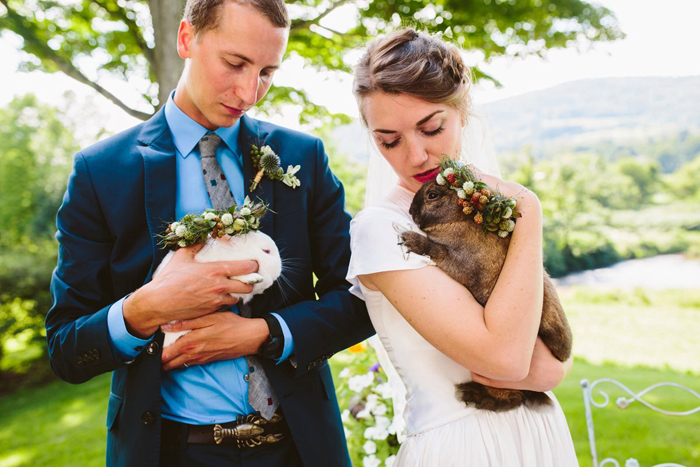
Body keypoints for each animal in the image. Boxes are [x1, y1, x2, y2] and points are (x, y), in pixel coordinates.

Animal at [402, 179, 572, 414]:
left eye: (433, 195)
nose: (411, 211)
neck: (459, 219)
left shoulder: (457, 263)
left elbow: (437, 250)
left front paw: (410, 240)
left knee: (513, 397)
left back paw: (472, 394)